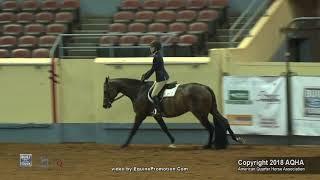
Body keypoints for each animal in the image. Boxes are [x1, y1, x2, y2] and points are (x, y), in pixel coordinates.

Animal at [102, 77, 242, 149]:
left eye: (105, 91)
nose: (105, 105)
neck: (138, 91)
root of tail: (205, 87)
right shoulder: (157, 116)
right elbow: (164, 128)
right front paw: (172, 141)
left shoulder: (140, 115)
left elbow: (133, 129)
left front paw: (124, 144)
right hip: (211, 109)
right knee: (224, 121)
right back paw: (236, 139)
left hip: (200, 113)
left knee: (210, 127)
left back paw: (208, 145)